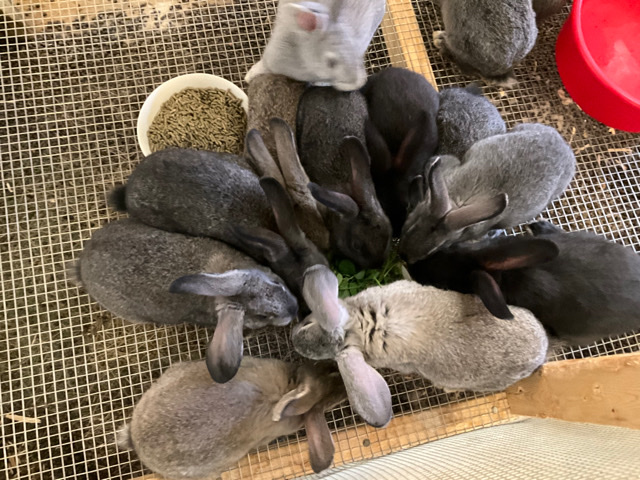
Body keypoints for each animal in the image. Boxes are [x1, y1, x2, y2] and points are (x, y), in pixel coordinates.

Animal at [245, 0, 386, 91]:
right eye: (331, 62)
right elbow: (263, 67)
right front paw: (248, 77)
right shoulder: (271, 58)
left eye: (357, 56)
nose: (357, 83)